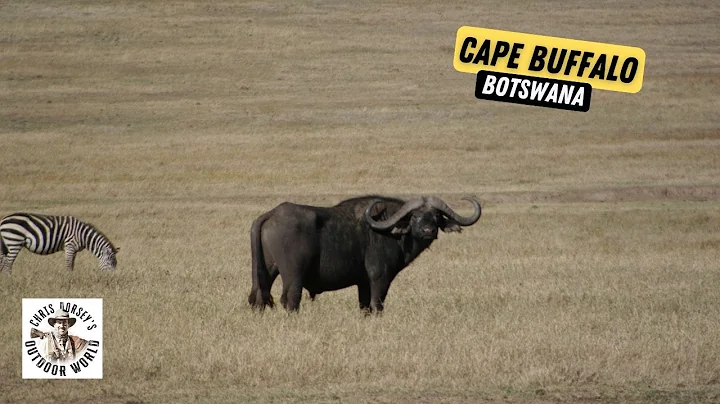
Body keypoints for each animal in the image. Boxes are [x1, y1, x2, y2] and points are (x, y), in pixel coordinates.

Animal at [247, 195, 482, 313]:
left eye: (436, 216)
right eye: (415, 216)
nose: (428, 231)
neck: (390, 230)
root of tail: (271, 214)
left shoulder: (363, 283)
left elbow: (364, 307)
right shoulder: (379, 278)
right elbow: (377, 305)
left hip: (266, 272)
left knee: (259, 297)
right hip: (293, 276)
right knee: (290, 299)